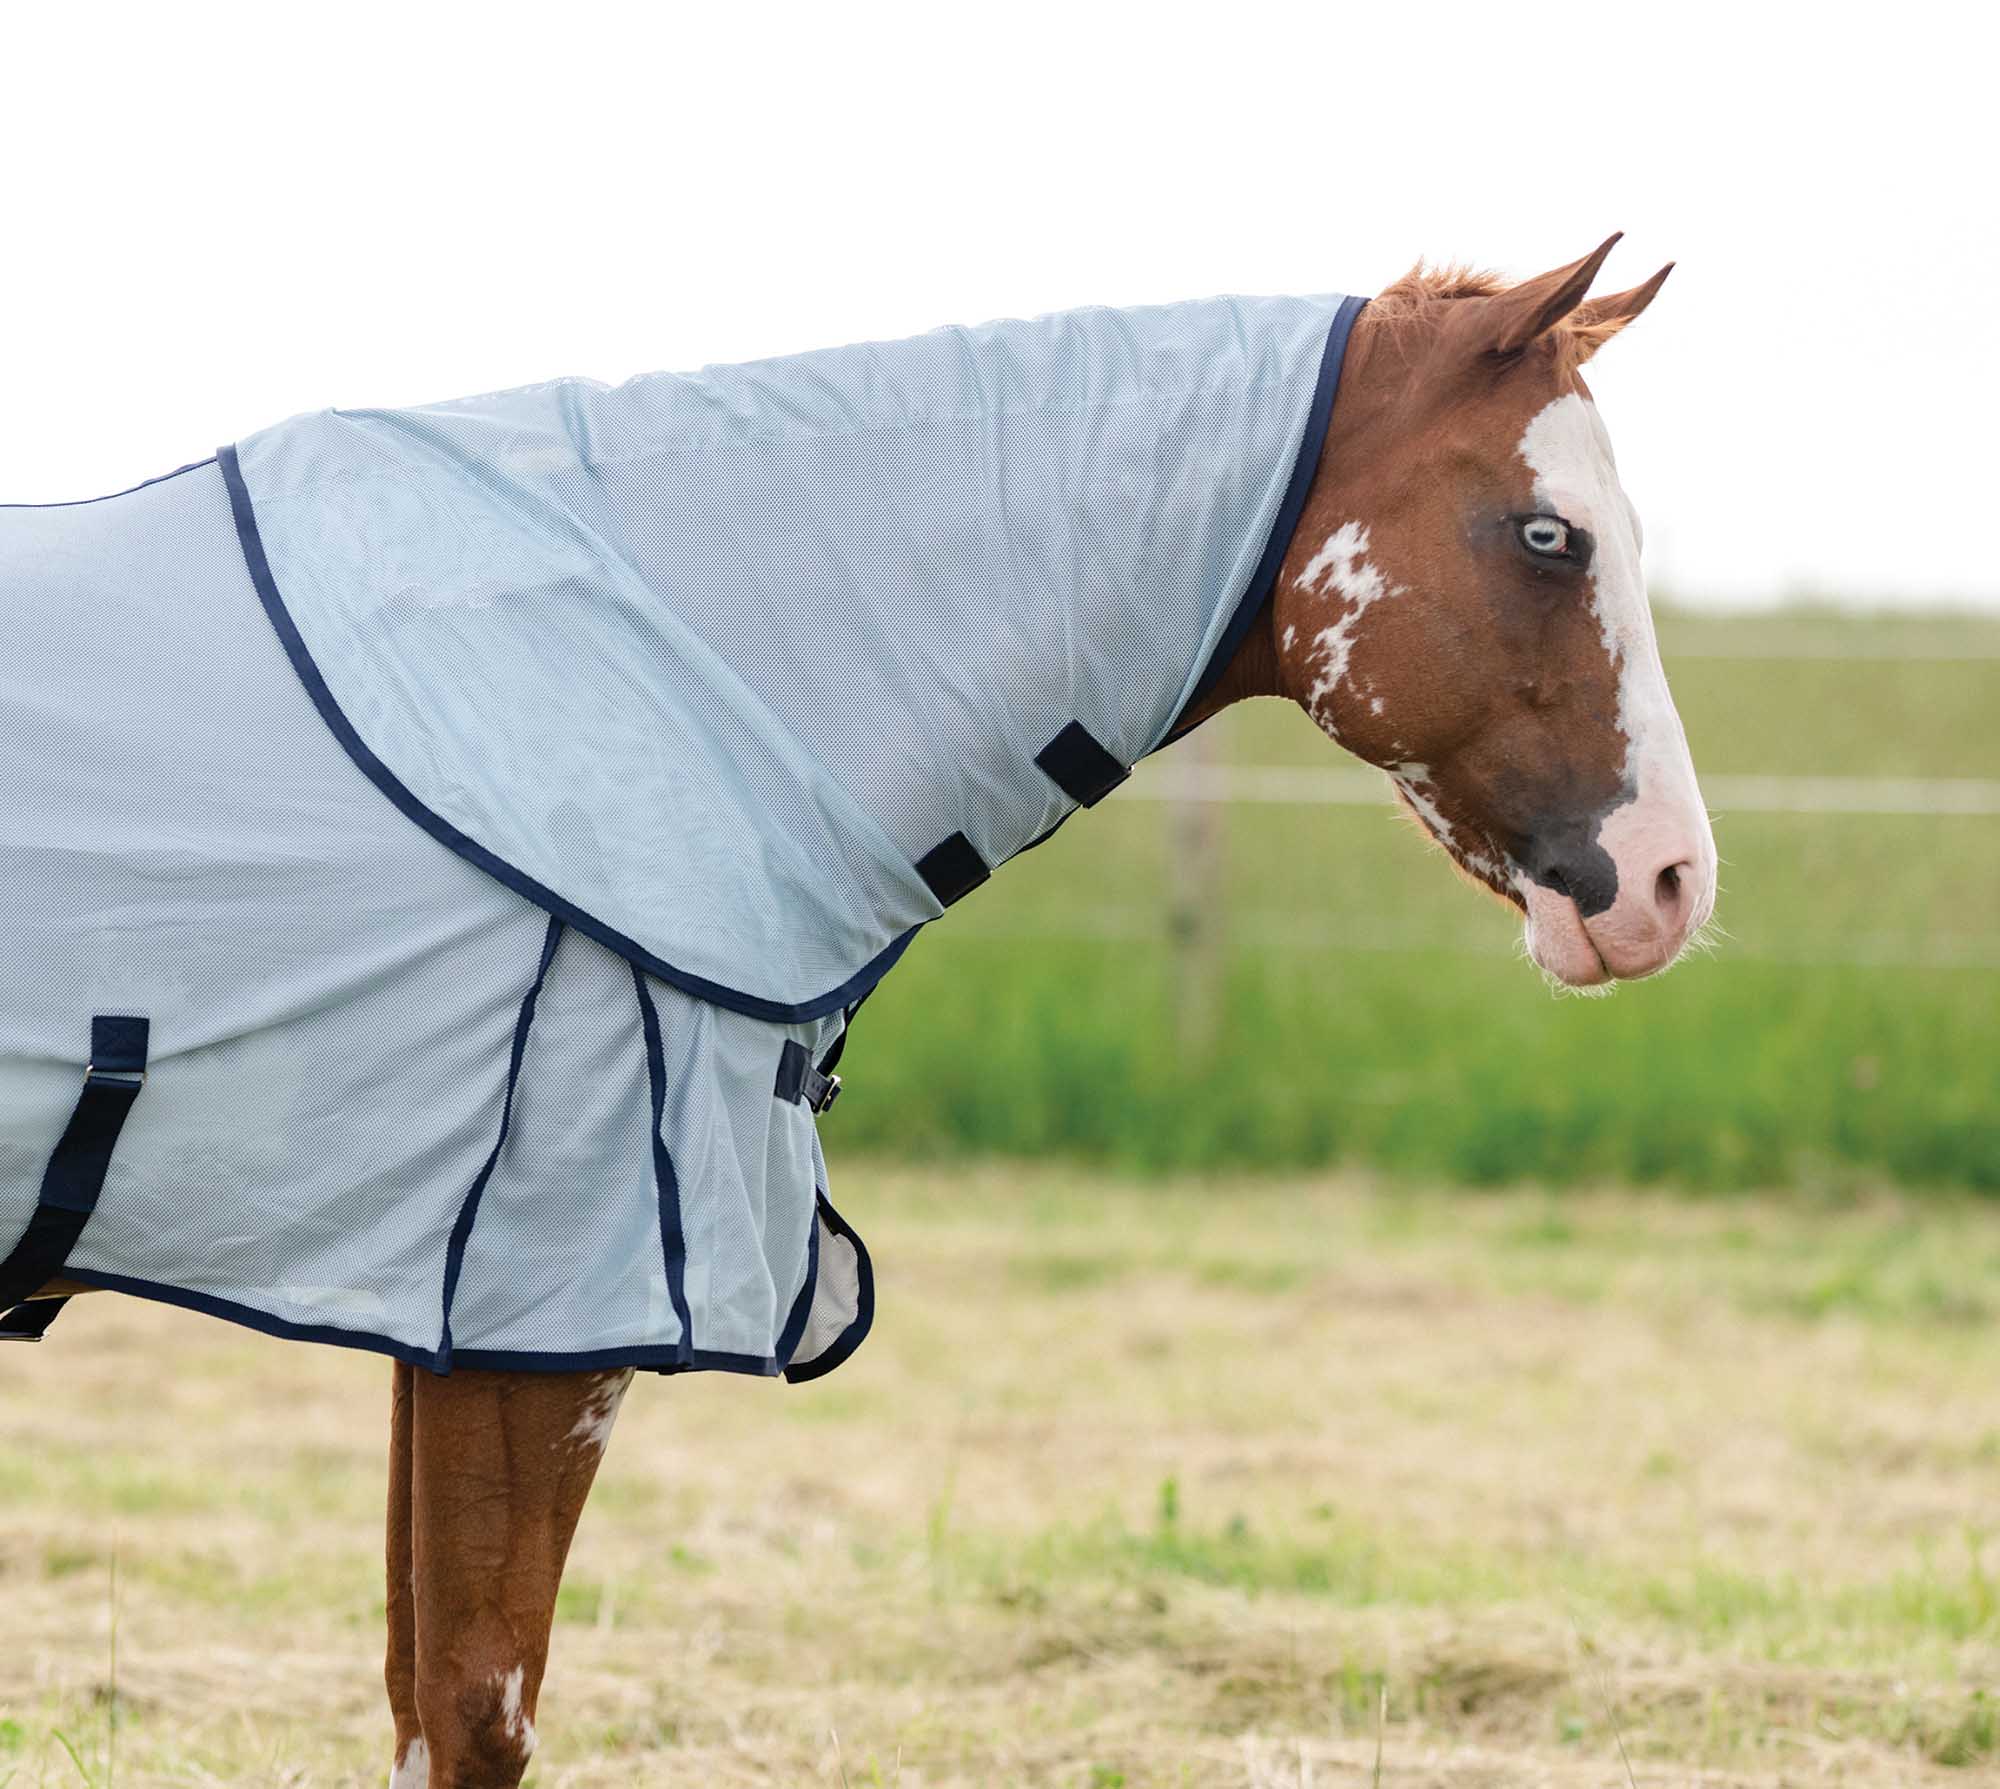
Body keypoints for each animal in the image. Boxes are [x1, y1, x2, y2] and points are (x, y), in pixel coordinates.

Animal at [1, 235, 1713, 1787]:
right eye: (1549, 535)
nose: (1671, 882)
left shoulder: (453, 1307)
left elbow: (423, 1692)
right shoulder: (540, 1319)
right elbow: (478, 1711)